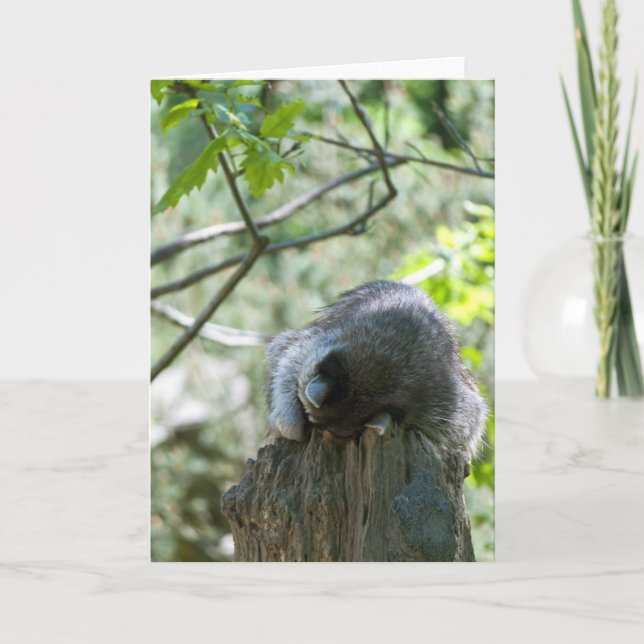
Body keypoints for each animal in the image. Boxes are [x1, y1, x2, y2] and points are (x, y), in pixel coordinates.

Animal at [265, 280, 487, 458]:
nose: (313, 429)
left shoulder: (445, 398)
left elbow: (468, 425)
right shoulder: (321, 338)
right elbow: (288, 357)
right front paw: (289, 420)